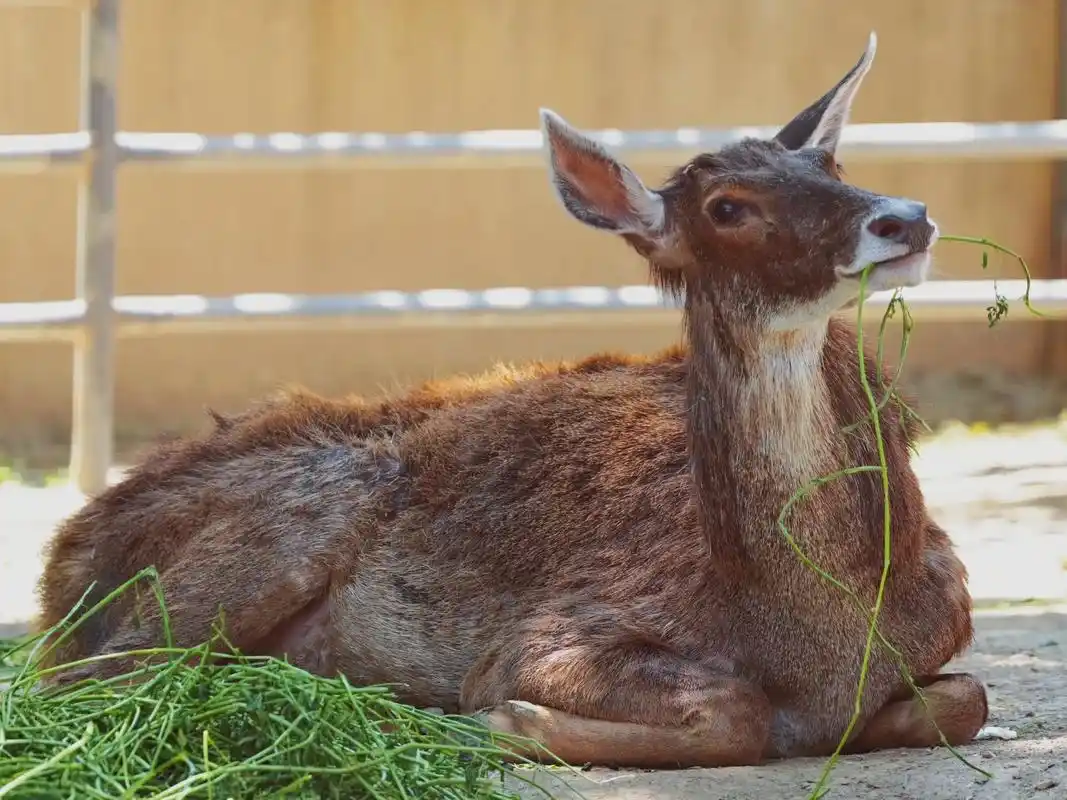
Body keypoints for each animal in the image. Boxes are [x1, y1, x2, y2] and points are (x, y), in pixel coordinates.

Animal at [34, 32, 988, 769]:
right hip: (273, 533)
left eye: (829, 161)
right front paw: (502, 717)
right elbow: (733, 713)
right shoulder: (553, 631)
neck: (824, 640)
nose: (905, 217)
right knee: (85, 682)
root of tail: (62, 566)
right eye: (726, 205)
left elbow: (964, 697)